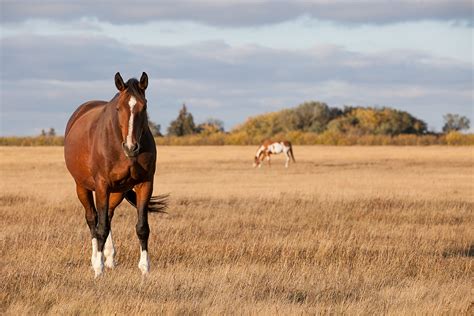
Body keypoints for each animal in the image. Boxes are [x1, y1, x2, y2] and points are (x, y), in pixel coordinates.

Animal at [63, 71, 167, 276]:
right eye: (118, 108)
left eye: (144, 106)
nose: (131, 147)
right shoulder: (102, 185)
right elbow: (100, 227)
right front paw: (99, 269)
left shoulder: (145, 184)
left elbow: (142, 227)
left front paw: (145, 268)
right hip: (82, 186)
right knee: (93, 219)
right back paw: (96, 259)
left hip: (118, 191)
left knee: (108, 216)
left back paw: (109, 257)